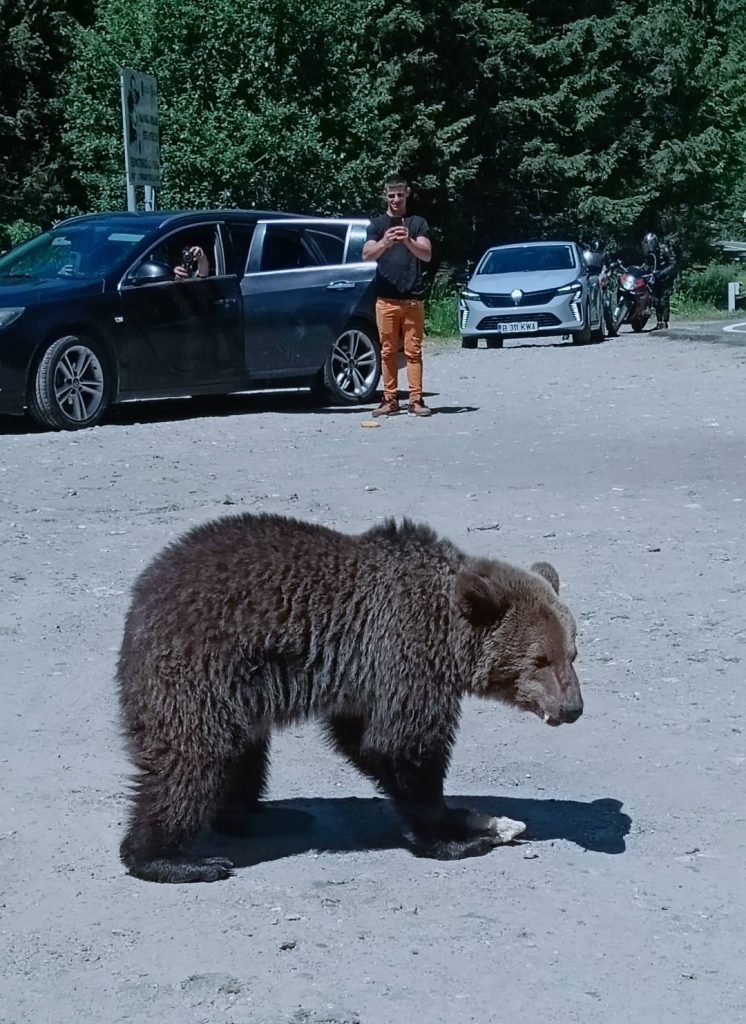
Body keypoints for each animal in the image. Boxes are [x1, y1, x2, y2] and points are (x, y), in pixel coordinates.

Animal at [117, 513, 583, 883]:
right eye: (540, 659)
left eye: (572, 653)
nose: (573, 708)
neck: (447, 635)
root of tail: (142, 598)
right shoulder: (402, 653)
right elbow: (402, 746)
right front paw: (453, 836)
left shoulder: (365, 679)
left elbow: (361, 738)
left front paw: (463, 819)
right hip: (202, 670)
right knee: (193, 760)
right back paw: (173, 859)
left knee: (245, 754)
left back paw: (262, 814)